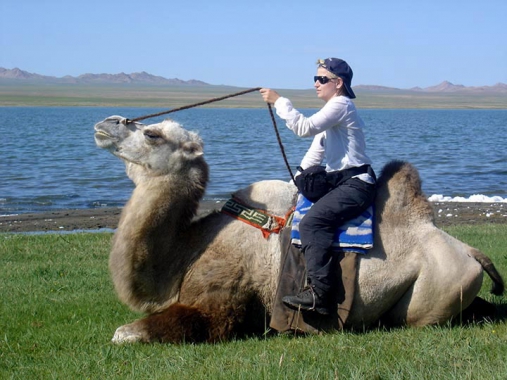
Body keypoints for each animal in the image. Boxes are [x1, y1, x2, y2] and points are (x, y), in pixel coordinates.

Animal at [92, 114, 504, 342]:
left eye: (153, 134)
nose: (106, 123)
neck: (187, 252)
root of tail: (470, 251)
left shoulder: (223, 297)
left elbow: (127, 334)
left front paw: (125, 331)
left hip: (431, 296)